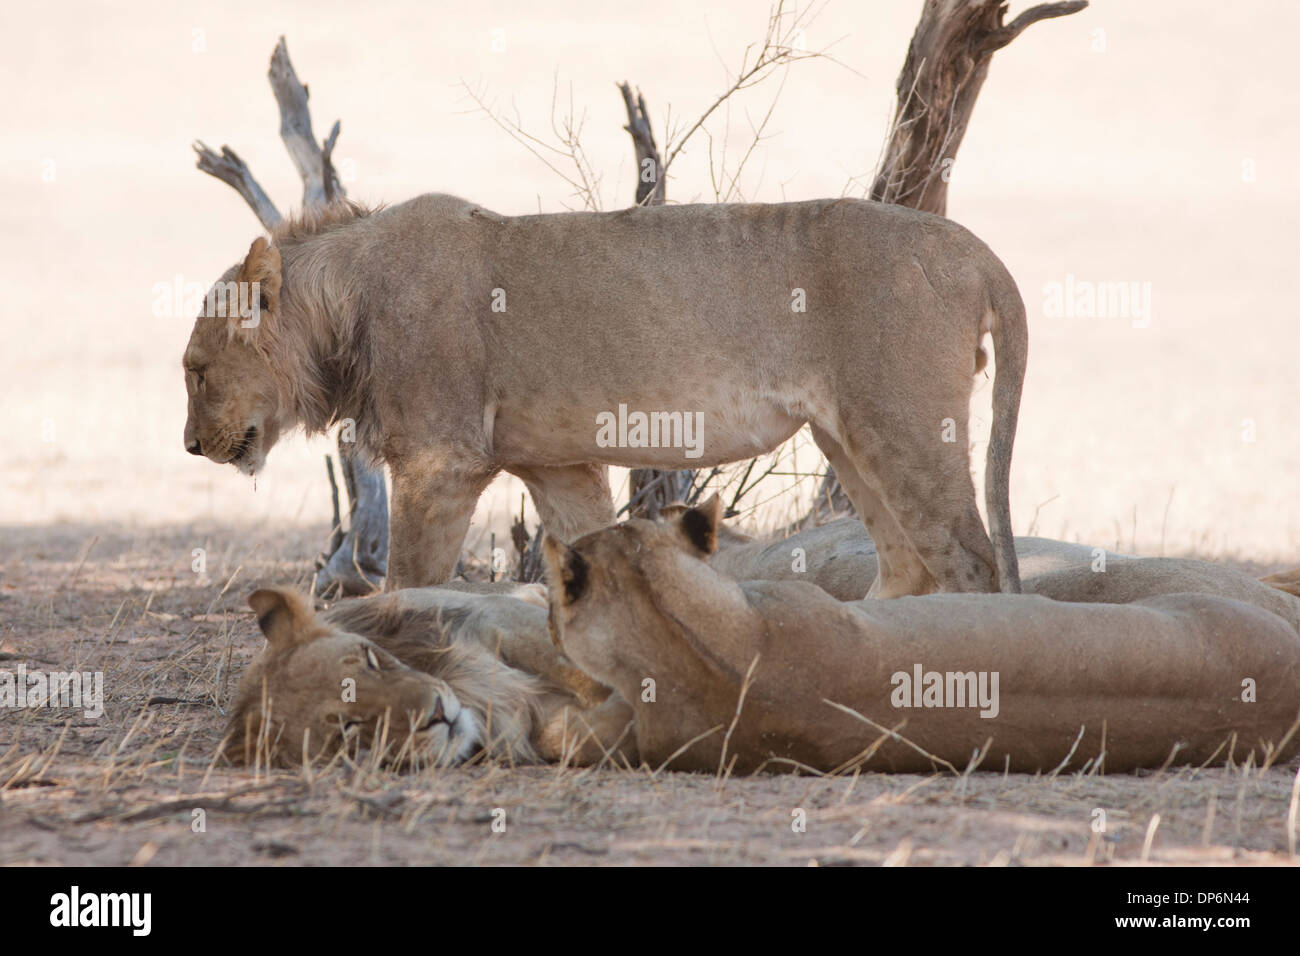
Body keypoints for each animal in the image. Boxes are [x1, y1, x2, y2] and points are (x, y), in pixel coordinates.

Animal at [180, 192, 1024, 598]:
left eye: (194, 369)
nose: (190, 445)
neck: (341, 305)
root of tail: (969, 246)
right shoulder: (557, 467)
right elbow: (585, 558)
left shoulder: (439, 459)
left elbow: (411, 582)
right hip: (845, 437)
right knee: (909, 561)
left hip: (903, 426)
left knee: (968, 561)